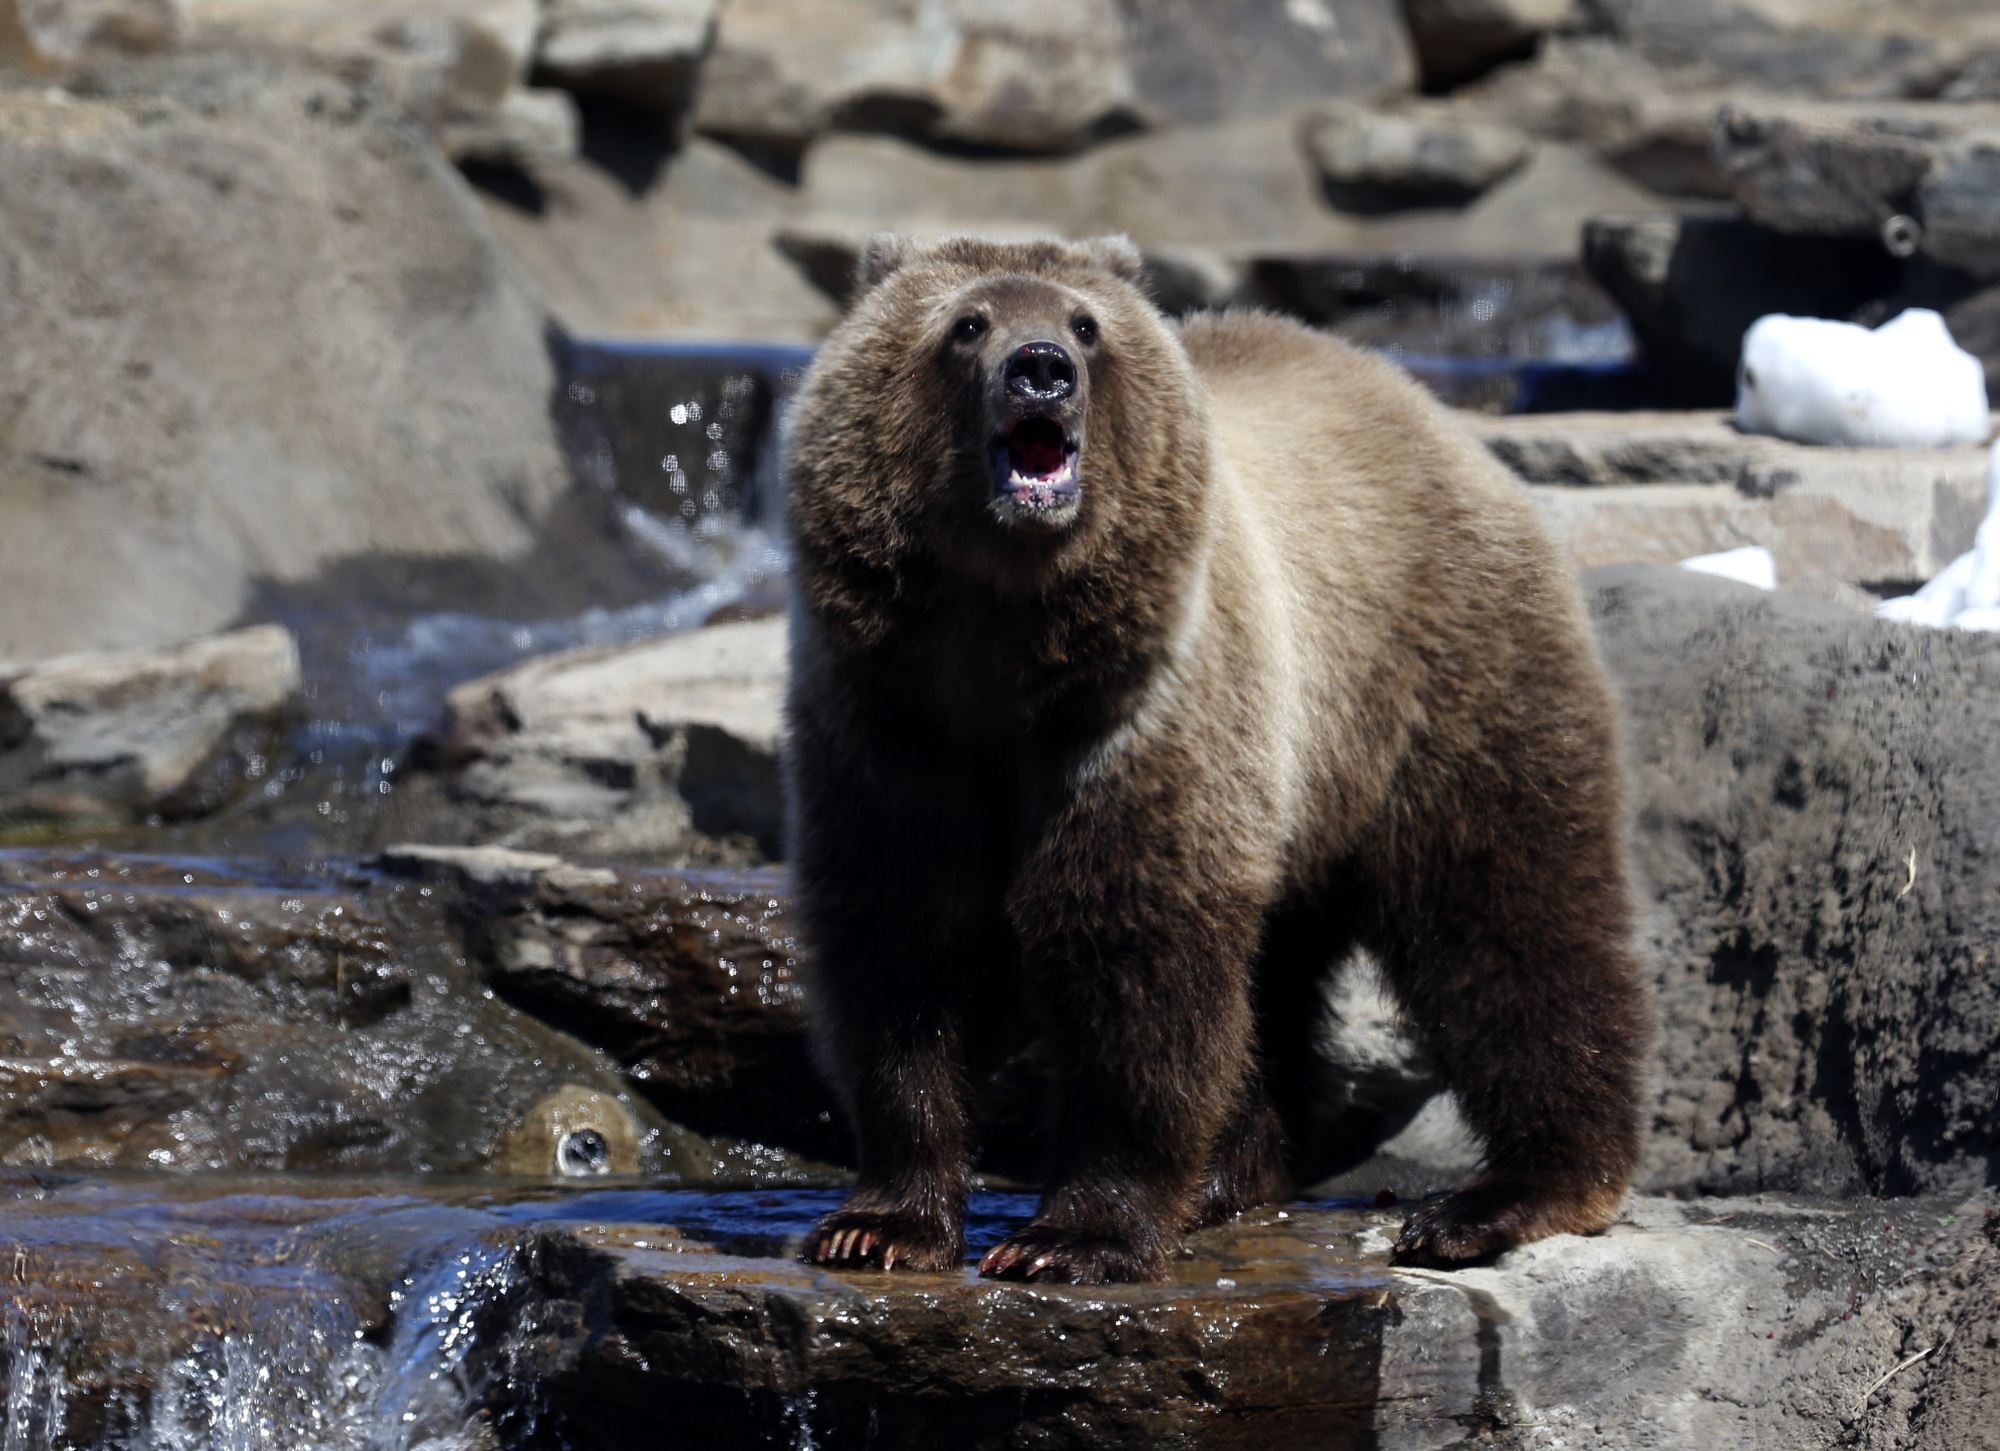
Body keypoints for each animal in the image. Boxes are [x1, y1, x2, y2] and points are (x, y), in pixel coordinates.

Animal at [782, 233, 1649, 1284]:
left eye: (1086, 324)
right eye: (967, 323)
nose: (1042, 369)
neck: (1006, 646)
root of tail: (1423, 405)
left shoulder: (1141, 713)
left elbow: (1133, 952)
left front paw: (1072, 1235)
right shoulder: (891, 723)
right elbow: (902, 944)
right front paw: (879, 1221)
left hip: (1438, 679)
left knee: (1511, 913)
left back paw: (1509, 1194)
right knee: (1282, 972)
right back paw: (1233, 1173)